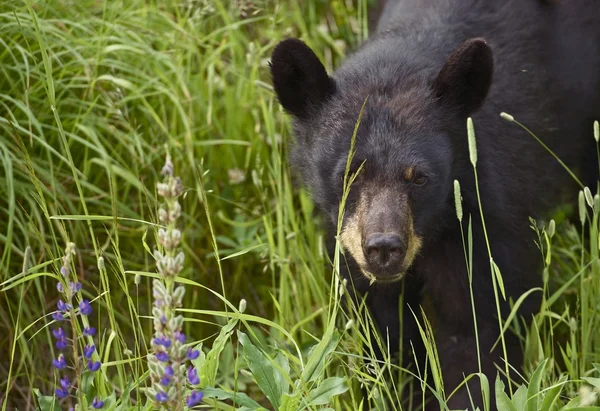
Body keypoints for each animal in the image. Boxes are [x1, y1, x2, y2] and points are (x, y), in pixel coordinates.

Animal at [270, 1, 596, 410]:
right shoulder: (350, 252)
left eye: (420, 178)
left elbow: (478, 332)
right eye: (348, 174)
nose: (383, 249)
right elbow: (386, 337)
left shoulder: (483, 224)